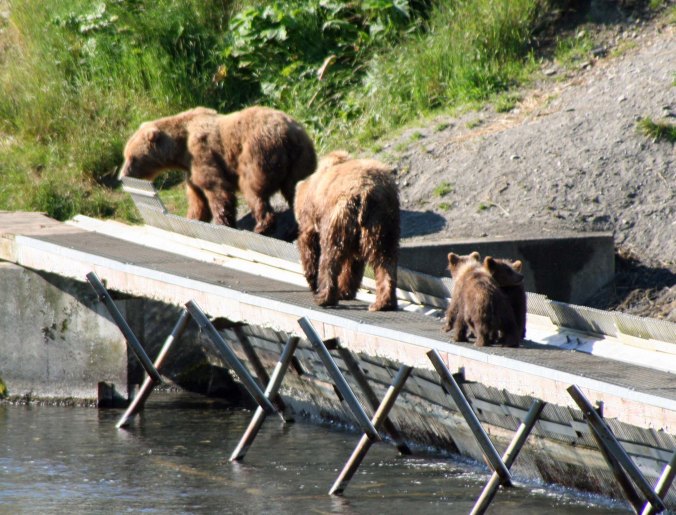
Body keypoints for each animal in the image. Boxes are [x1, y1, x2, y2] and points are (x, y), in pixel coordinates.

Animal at [119, 106, 317, 235]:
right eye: (126, 155)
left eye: (132, 158)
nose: (122, 176)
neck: (180, 148)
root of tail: (286, 134)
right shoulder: (190, 169)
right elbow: (197, 198)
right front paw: (193, 218)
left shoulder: (201, 153)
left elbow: (216, 189)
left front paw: (223, 222)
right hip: (301, 158)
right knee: (295, 189)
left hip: (258, 153)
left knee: (253, 188)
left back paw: (262, 226)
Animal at [294, 150, 400, 311]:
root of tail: (366, 193)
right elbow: (353, 262)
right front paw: (345, 291)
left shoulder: (314, 218)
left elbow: (309, 244)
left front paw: (313, 280)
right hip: (383, 222)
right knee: (385, 259)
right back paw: (383, 303)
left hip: (341, 215)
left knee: (330, 256)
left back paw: (324, 297)